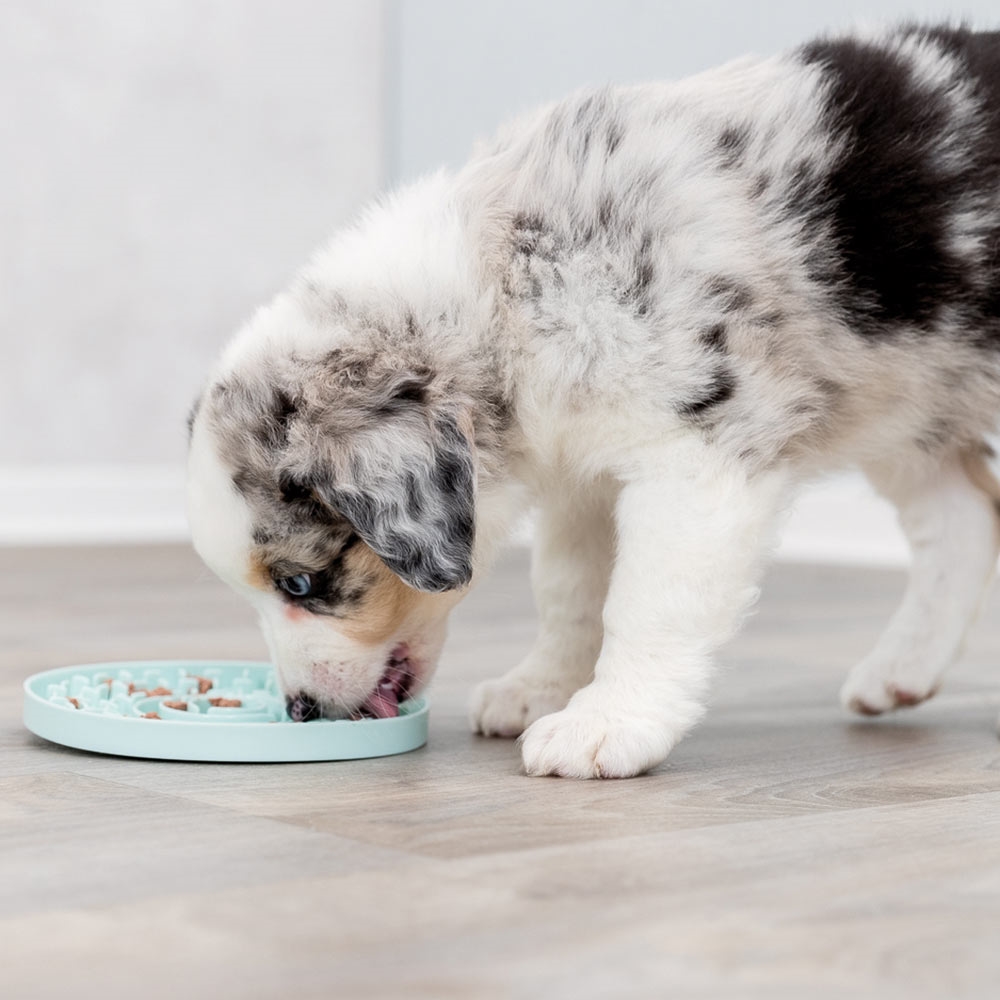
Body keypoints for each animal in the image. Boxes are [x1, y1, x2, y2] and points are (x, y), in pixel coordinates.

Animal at [186, 19, 1000, 776]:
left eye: (301, 582)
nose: (300, 711)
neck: (504, 292)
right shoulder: (583, 471)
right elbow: (570, 589)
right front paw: (541, 688)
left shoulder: (694, 457)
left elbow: (647, 602)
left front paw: (608, 722)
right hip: (907, 405)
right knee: (960, 519)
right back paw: (901, 670)